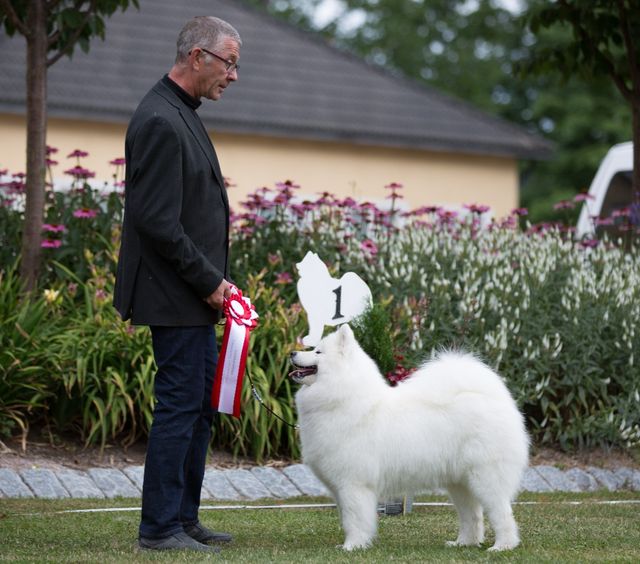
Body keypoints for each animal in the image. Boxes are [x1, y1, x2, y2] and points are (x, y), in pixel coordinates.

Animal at [290, 326, 528, 552]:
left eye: (318, 352)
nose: (292, 352)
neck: (343, 398)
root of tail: (495, 399)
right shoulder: (341, 487)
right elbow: (347, 519)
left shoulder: (354, 484)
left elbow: (354, 521)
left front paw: (353, 546)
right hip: (460, 483)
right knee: (473, 516)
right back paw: (463, 543)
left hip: (486, 477)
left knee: (501, 513)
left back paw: (503, 546)